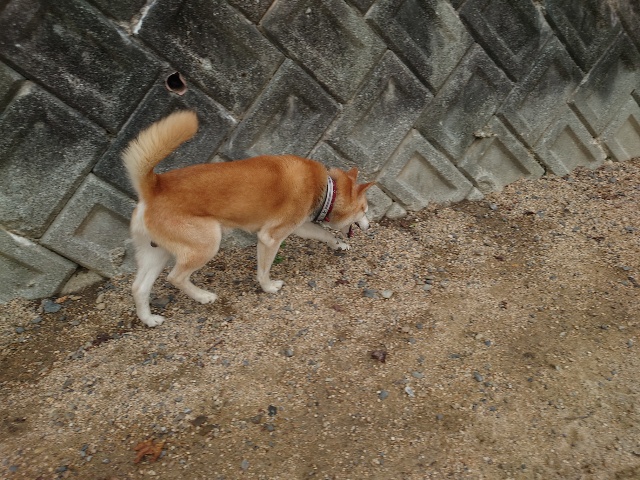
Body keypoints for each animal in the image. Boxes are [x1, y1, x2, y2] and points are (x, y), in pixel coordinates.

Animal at [123, 110, 373, 327]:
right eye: (364, 209)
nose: (369, 226)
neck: (328, 189)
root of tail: (153, 188)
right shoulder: (270, 237)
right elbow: (263, 270)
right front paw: (269, 287)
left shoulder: (298, 226)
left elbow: (323, 233)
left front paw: (339, 244)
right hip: (207, 243)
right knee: (175, 277)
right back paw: (203, 296)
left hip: (157, 252)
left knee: (139, 287)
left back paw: (149, 319)